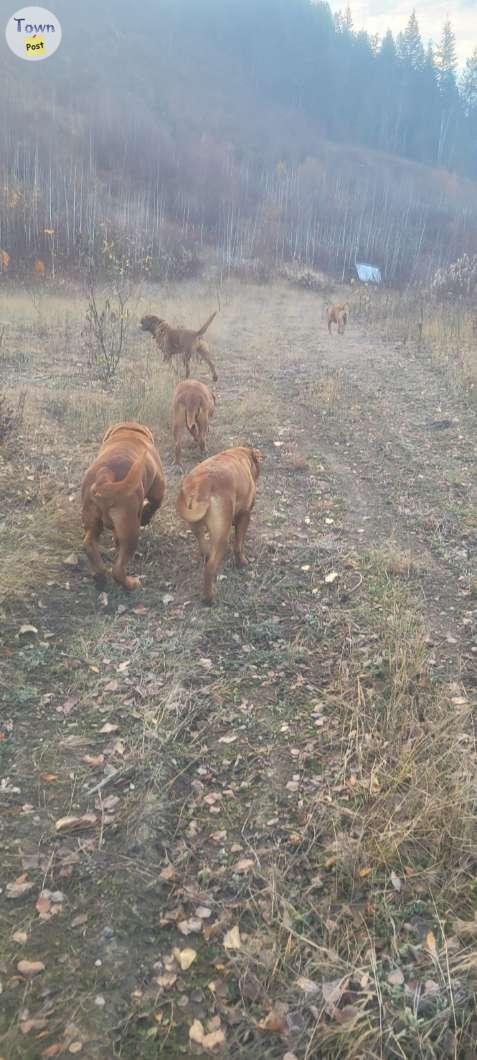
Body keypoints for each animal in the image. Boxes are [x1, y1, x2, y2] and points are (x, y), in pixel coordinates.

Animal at [81, 419, 165, 589]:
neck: (129, 432)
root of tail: (105, 481)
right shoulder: (158, 487)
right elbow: (155, 504)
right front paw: (146, 517)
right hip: (131, 531)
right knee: (118, 570)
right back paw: (131, 583)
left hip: (93, 521)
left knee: (89, 544)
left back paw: (99, 574)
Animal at [177, 447, 262, 606]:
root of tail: (201, 486)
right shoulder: (245, 515)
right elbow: (238, 545)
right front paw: (242, 562)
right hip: (222, 537)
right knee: (210, 569)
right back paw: (209, 598)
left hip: (198, 528)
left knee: (204, 551)